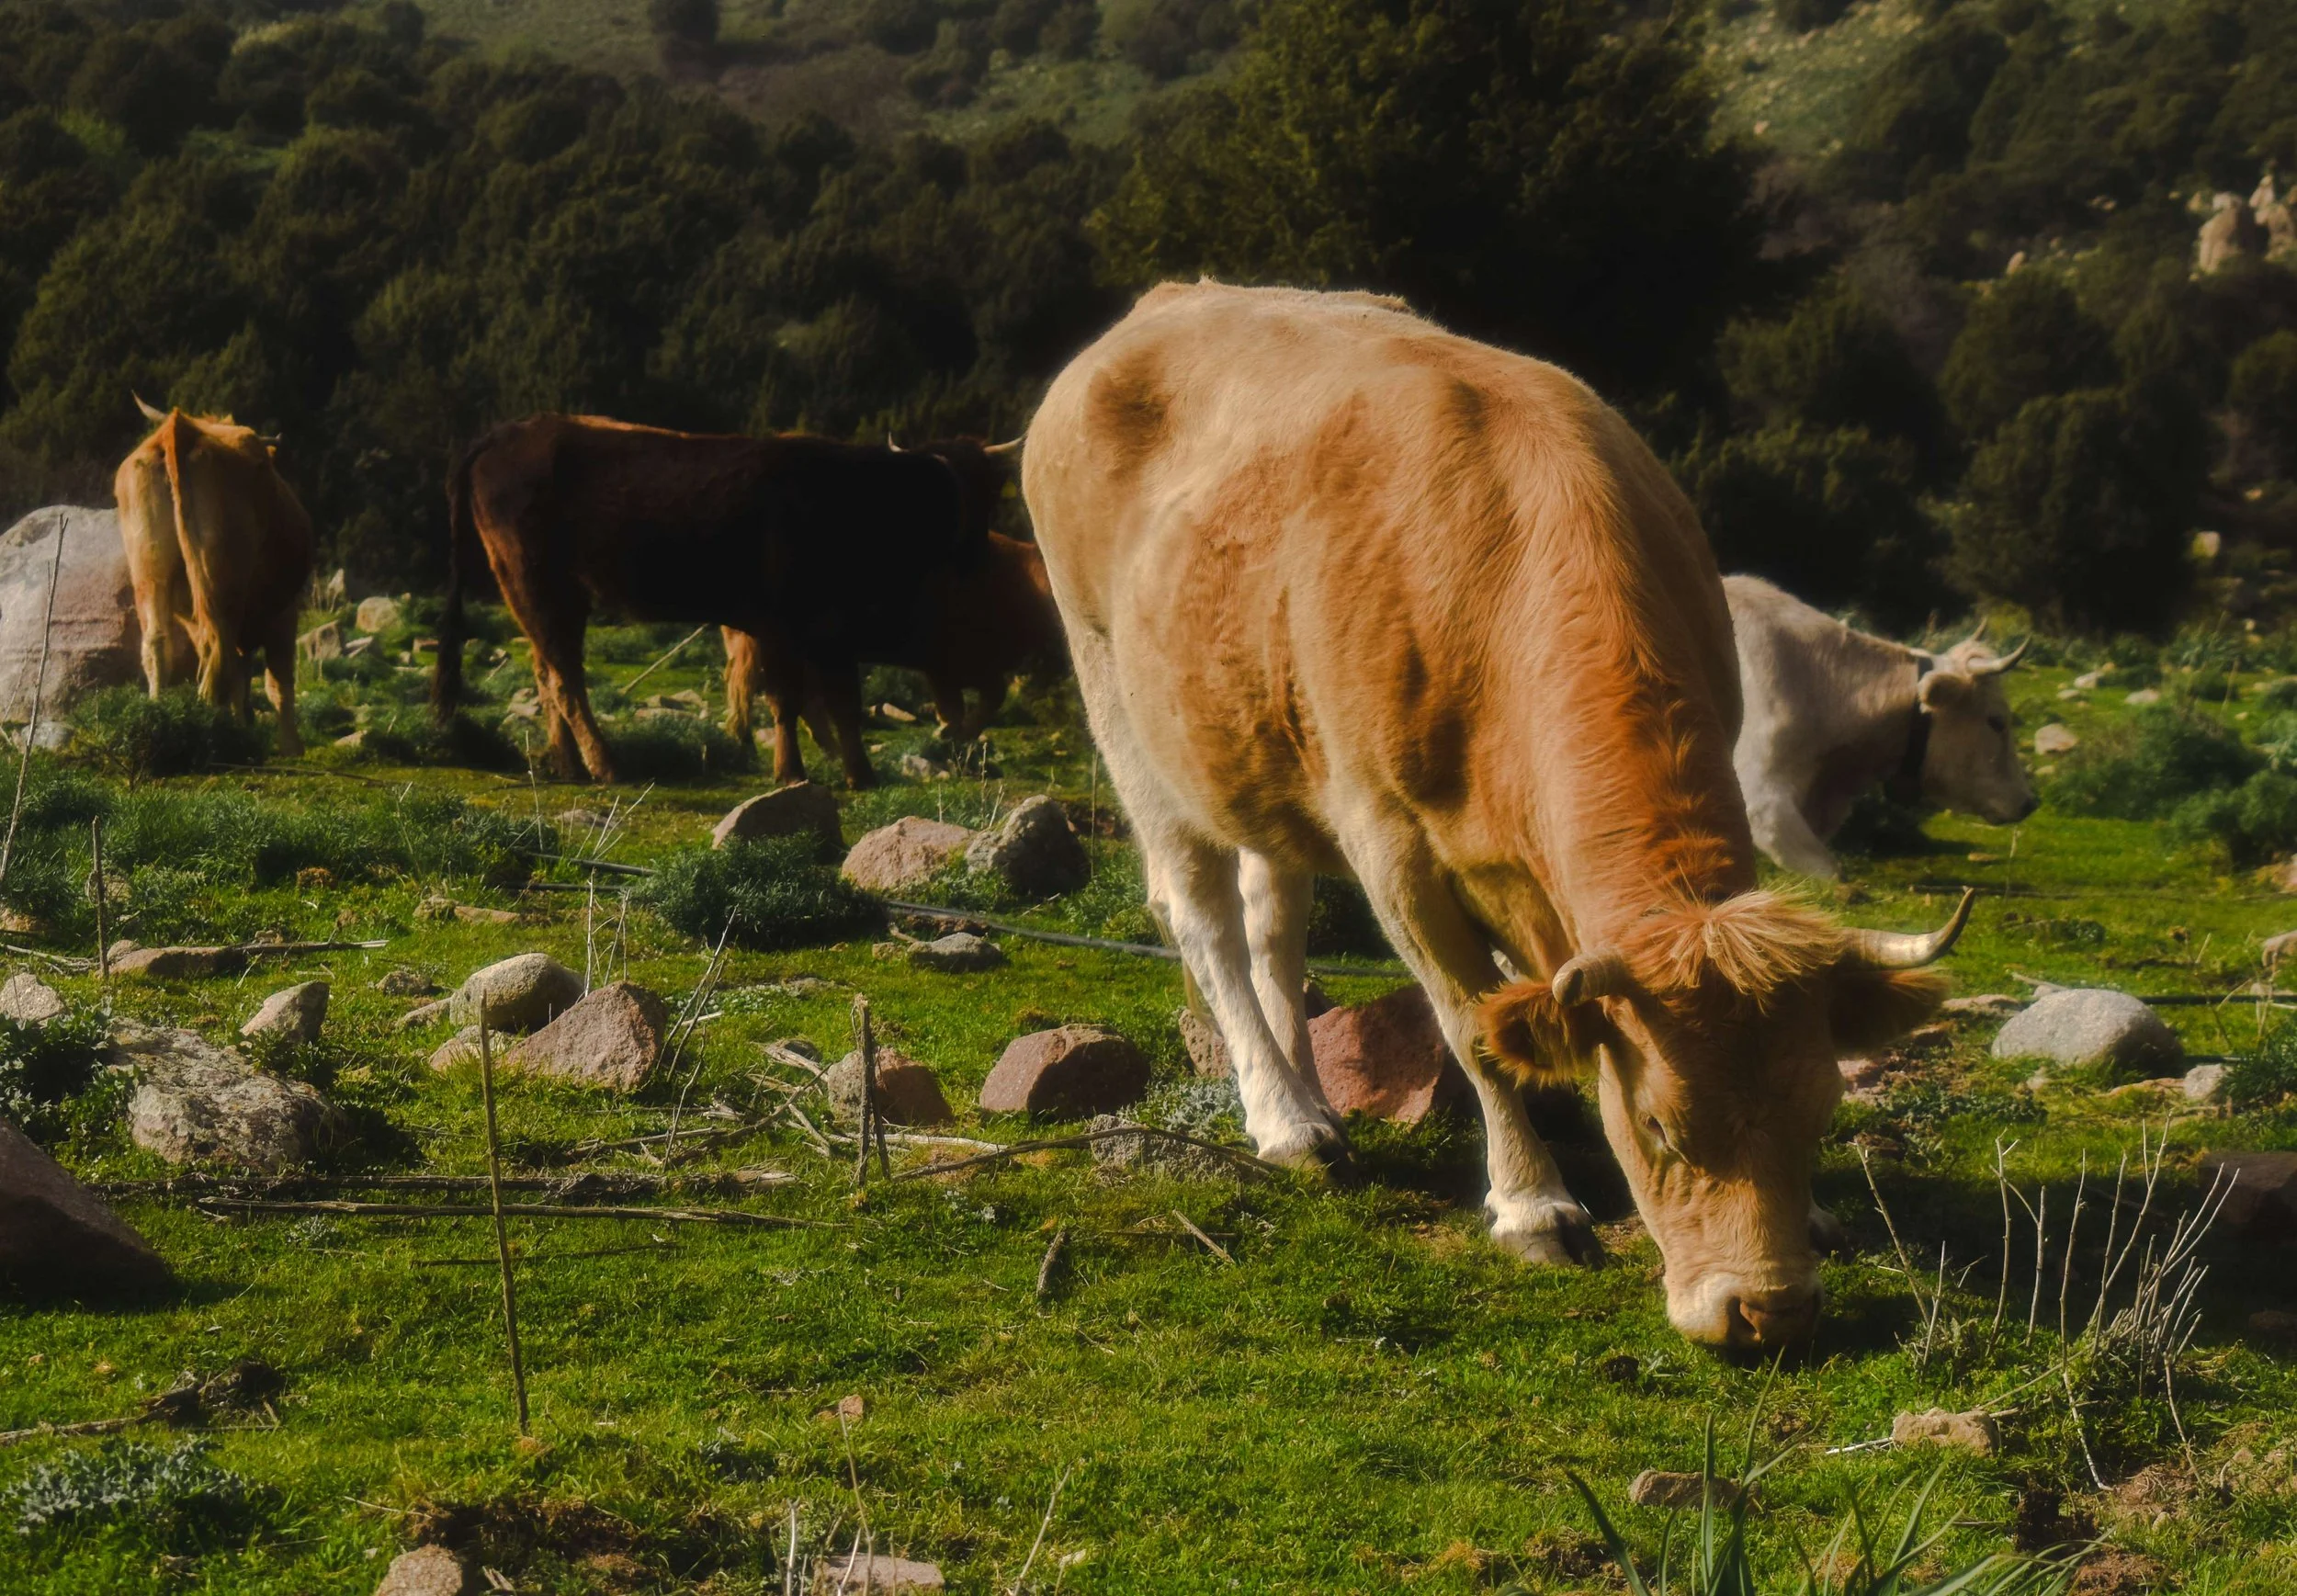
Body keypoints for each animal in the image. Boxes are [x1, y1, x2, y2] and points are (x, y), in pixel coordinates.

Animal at [114, 397, 313, 756]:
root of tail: (180, 428)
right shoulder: (285, 612)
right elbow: (277, 680)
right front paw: (290, 745)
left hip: (150, 570)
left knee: (158, 642)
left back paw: (157, 715)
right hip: (220, 580)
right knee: (218, 649)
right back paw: (218, 731)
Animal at [432, 414, 1025, 785]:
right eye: (977, 492)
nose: (976, 555)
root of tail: (509, 432)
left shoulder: (831, 631)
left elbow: (842, 702)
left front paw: (858, 772)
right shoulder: (786, 624)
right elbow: (789, 699)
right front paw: (793, 771)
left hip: (545, 596)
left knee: (547, 671)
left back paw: (569, 765)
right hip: (537, 584)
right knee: (563, 679)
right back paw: (605, 765)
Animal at [719, 528, 1065, 788]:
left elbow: (975, 702)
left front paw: (951, 736)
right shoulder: (949, 663)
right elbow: (977, 701)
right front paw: (951, 736)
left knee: (799, 701)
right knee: (762, 693)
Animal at [1022, 282, 1970, 1348]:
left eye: (1818, 1111)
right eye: (1659, 1125)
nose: (1769, 1312)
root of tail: (1169, 300)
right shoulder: (1389, 841)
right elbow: (1475, 1025)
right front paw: (1531, 1203)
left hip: (1258, 739)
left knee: (1275, 922)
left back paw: (1313, 1101)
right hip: (1120, 703)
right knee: (1204, 917)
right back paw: (1282, 1118)